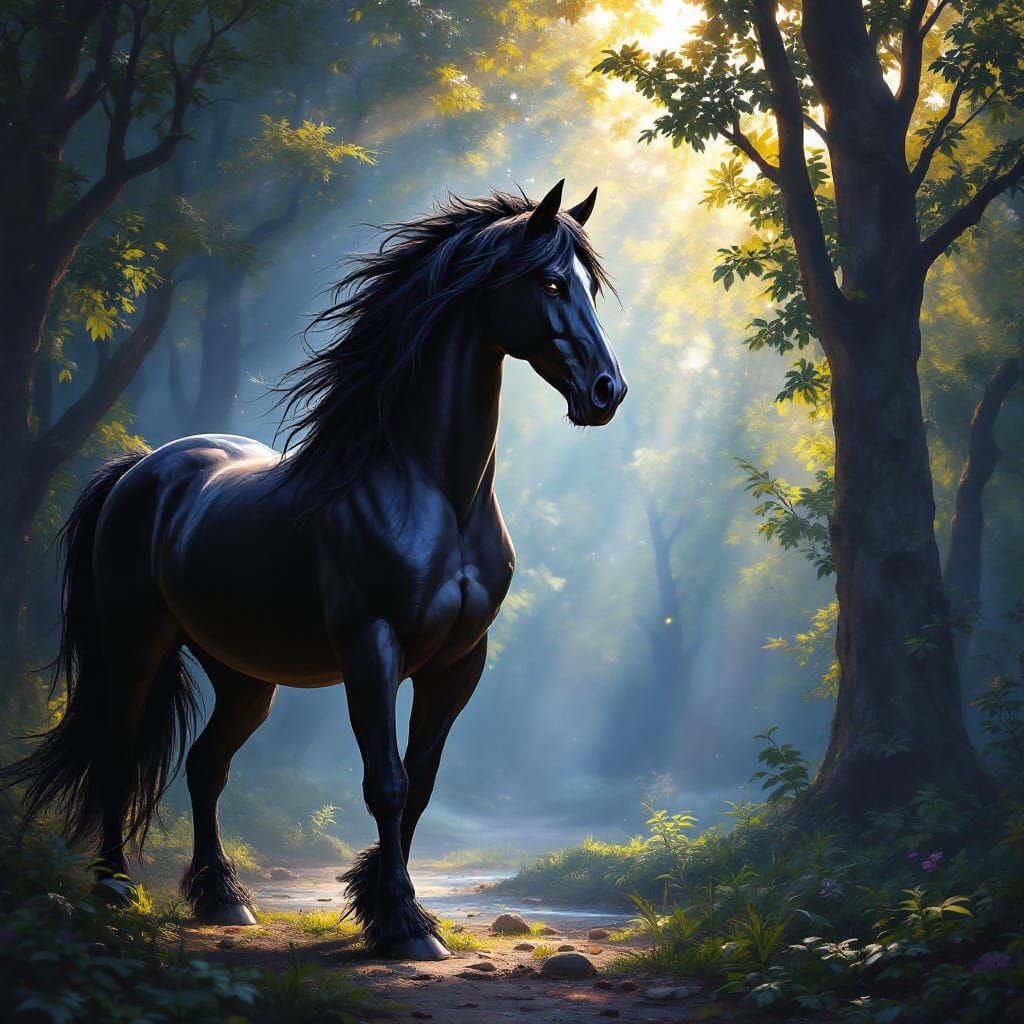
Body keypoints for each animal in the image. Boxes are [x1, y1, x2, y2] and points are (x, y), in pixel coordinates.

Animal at [2, 180, 626, 960]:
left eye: (589, 288)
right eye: (548, 283)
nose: (607, 391)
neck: (431, 491)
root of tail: (141, 468)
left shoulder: (459, 663)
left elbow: (421, 782)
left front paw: (387, 904)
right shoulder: (372, 647)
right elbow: (386, 783)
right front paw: (402, 925)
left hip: (245, 673)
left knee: (206, 766)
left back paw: (223, 899)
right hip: (134, 645)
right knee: (119, 752)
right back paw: (113, 888)